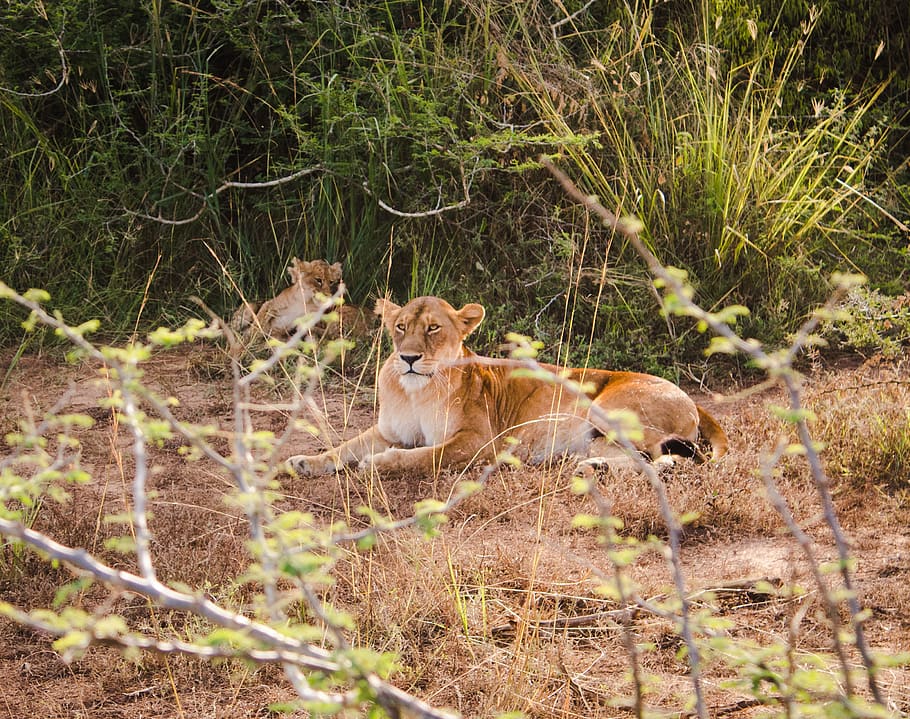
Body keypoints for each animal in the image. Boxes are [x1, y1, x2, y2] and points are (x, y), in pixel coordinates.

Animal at [289, 295, 728, 477]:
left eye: (433, 328)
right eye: (400, 327)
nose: (409, 358)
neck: (416, 390)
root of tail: (693, 400)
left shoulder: (480, 442)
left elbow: (424, 456)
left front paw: (378, 464)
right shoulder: (387, 431)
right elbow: (344, 447)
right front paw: (306, 462)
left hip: (609, 408)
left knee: (666, 458)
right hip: (599, 436)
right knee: (651, 460)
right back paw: (593, 466)